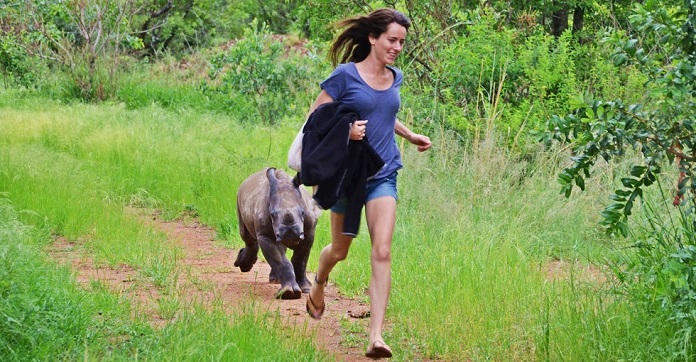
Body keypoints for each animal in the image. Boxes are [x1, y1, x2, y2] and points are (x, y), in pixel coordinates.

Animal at [234, 168, 320, 298]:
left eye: (302, 212)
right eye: (272, 215)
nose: (290, 234)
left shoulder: (309, 231)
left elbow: (300, 260)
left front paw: (305, 289)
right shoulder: (265, 235)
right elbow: (280, 260)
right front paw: (288, 293)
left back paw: (275, 280)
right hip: (240, 199)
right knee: (247, 237)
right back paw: (244, 266)